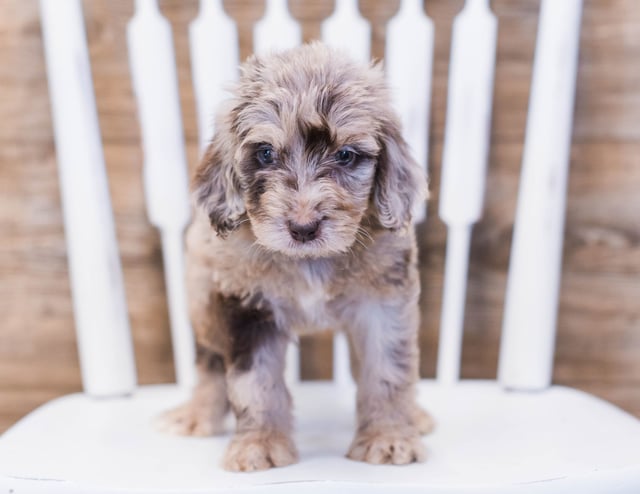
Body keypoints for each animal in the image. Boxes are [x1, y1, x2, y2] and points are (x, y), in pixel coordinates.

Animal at [158, 42, 432, 470]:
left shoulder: (384, 303)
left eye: (346, 156)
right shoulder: (247, 307)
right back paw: (197, 413)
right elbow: (255, 382)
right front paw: (260, 445)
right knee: (210, 360)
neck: (309, 262)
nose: (303, 228)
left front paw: (389, 437)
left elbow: (387, 370)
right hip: (201, 295)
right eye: (266, 153)